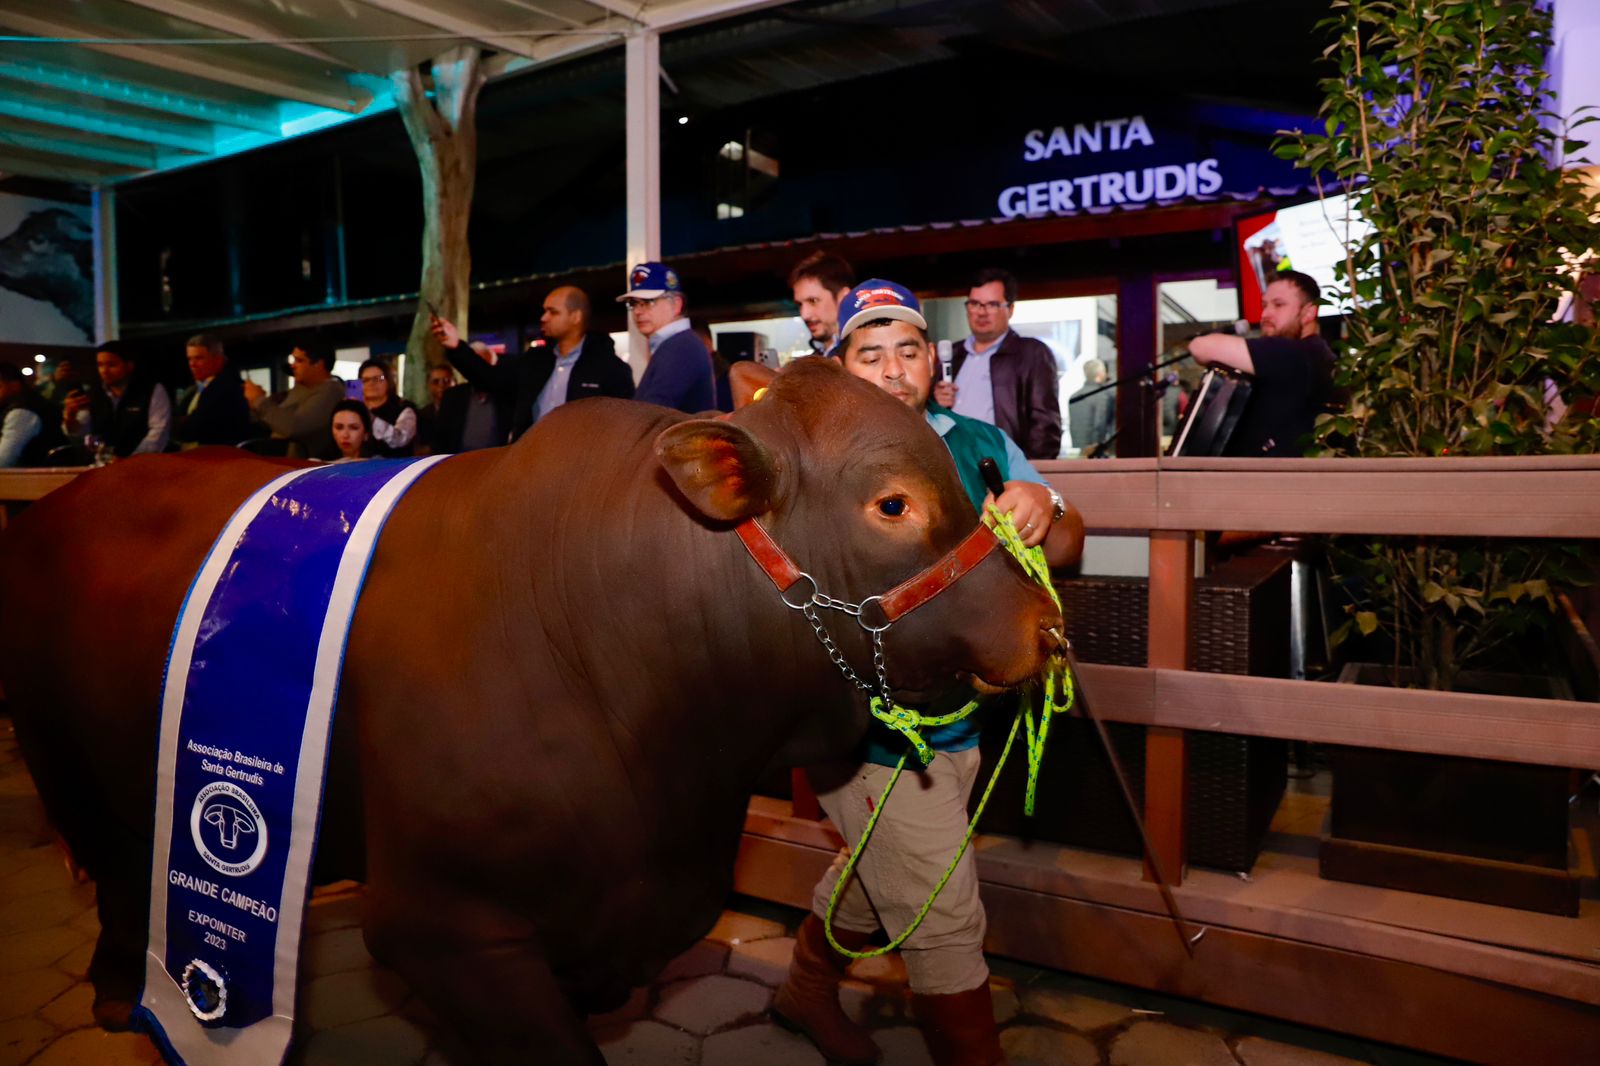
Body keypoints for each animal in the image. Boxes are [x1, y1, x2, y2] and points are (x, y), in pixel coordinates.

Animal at [3, 358, 1062, 1062]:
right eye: (893, 505)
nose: (1043, 624)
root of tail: (67, 497)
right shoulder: (443, 924)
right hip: (62, 758)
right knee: (114, 867)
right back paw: (118, 994)